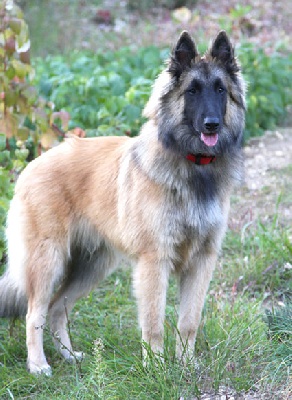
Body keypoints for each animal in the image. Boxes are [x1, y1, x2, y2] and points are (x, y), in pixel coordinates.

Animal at [0, 31, 246, 376]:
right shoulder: (154, 262)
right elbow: (154, 323)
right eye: (192, 91)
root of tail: (30, 165)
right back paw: (39, 365)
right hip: (48, 261)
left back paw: (69, 356)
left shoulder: (202, 261)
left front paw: (186, 366)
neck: (192, 165)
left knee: (57, 307)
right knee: (34, 312)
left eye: (220, 90)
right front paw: (156, 369)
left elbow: (189, 321)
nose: (212, 124)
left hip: (92, 266)